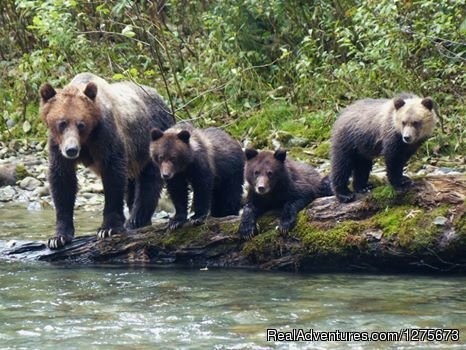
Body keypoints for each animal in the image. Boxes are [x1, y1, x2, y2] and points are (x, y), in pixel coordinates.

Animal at [39, 72, 175, 249]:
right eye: (61, 123)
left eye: (81, 124)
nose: (71, 150)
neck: (86, 141)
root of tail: (162, 98)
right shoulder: (57, 146)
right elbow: (62, 180)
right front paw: (58, 237)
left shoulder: (105, 136)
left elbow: (113, 176)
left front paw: (108, 228)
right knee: (132, 185)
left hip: (152, 138)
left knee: (149, 181)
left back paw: (135, 220)